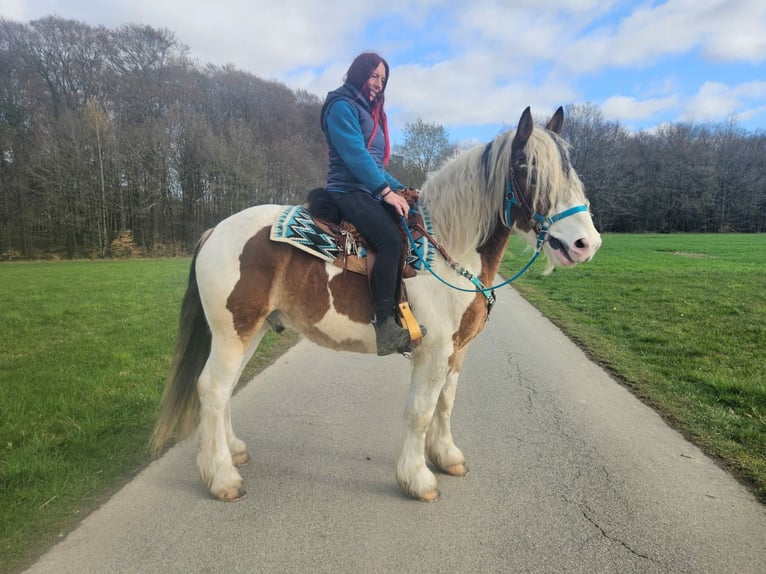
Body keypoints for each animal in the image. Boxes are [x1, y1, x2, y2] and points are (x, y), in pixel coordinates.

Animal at [151, 106, 602, 502]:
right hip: (234, 331)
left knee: (224, 389)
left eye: (571, 171)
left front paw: (446, 457)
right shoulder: (433, 352)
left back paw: (234, 451)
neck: (447, 250)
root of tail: (215, 230)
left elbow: (446, 403)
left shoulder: (456, 351)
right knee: (212, 389)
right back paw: (221, 477)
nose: (587, 244)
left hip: (252, 330)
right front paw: (418, 479)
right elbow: (421, 411)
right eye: (529, 170)